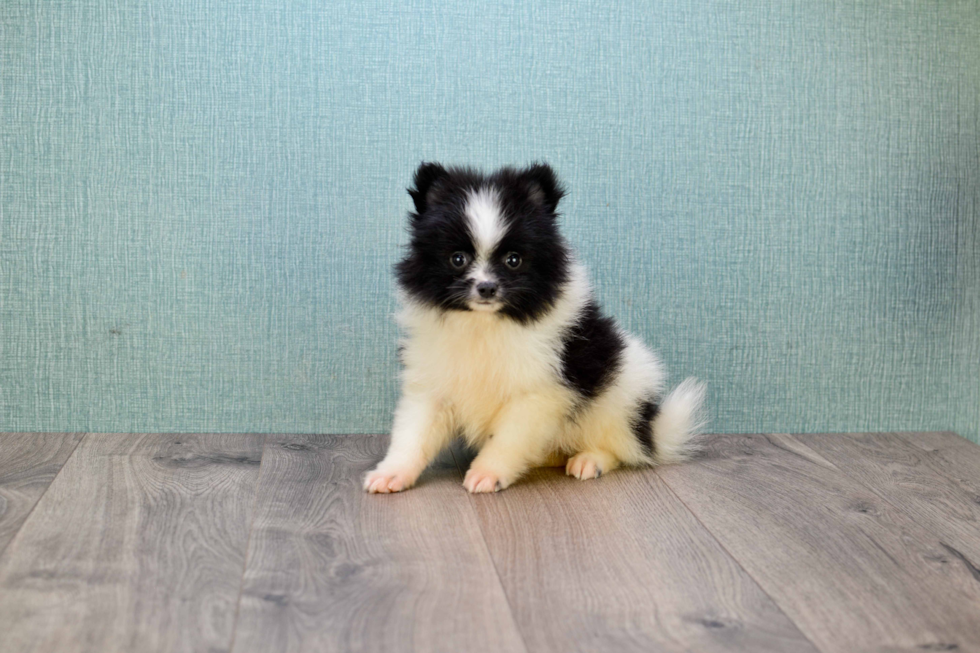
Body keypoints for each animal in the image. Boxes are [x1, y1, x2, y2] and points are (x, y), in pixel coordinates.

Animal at [362, 163, 704, 494]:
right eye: (458, 259)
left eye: (513, 260)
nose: (486, 287)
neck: (485, 323)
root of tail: (651, 428)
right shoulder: (434, 383)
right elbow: (413, 435)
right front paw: (392, 473)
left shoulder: (538, 393)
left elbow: (505, 438)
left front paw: (488, 473)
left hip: (617, 399)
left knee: (620, 446)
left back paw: (589, 460)